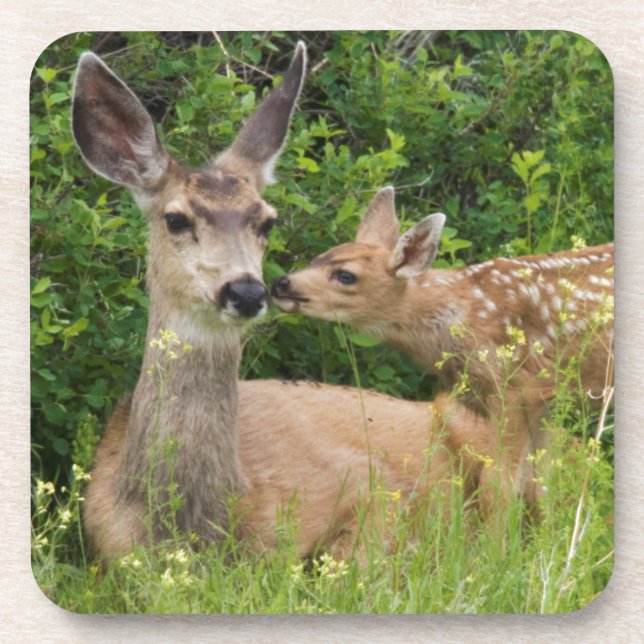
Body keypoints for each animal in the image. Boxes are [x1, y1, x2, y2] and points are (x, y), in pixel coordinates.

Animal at [272, 186, 614, 513]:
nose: (280, 283)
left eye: (346, 275)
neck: (462, 316)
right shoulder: (542, 401)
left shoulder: (514, 387)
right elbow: (541, 487)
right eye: (318, 258)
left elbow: (498, 487)